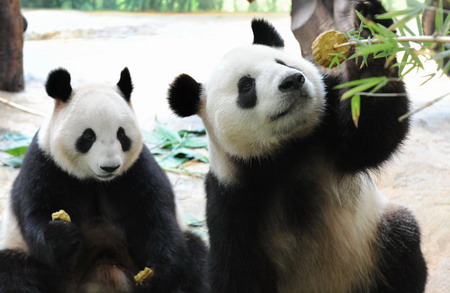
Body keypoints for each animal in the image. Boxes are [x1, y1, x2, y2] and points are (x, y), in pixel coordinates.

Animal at [0, 67, 207, 290]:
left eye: (121, 135)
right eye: (88, 136)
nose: (110, 167)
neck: (96, 181)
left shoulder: (136, 170)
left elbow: (155, 216)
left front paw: (155, 275)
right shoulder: (45, 165)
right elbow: (35, 214)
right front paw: (62, 235)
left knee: (195, 256)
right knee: (14, 272)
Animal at [167, 1, 428, 290]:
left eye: (281, 62)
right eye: (246, 85)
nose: (292, 80)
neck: (286, 150)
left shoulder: (327, 134)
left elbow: (372, 133)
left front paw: (370, 34)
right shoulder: (232, 197)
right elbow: (235, 270)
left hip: (372, 246)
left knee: (401, 237)